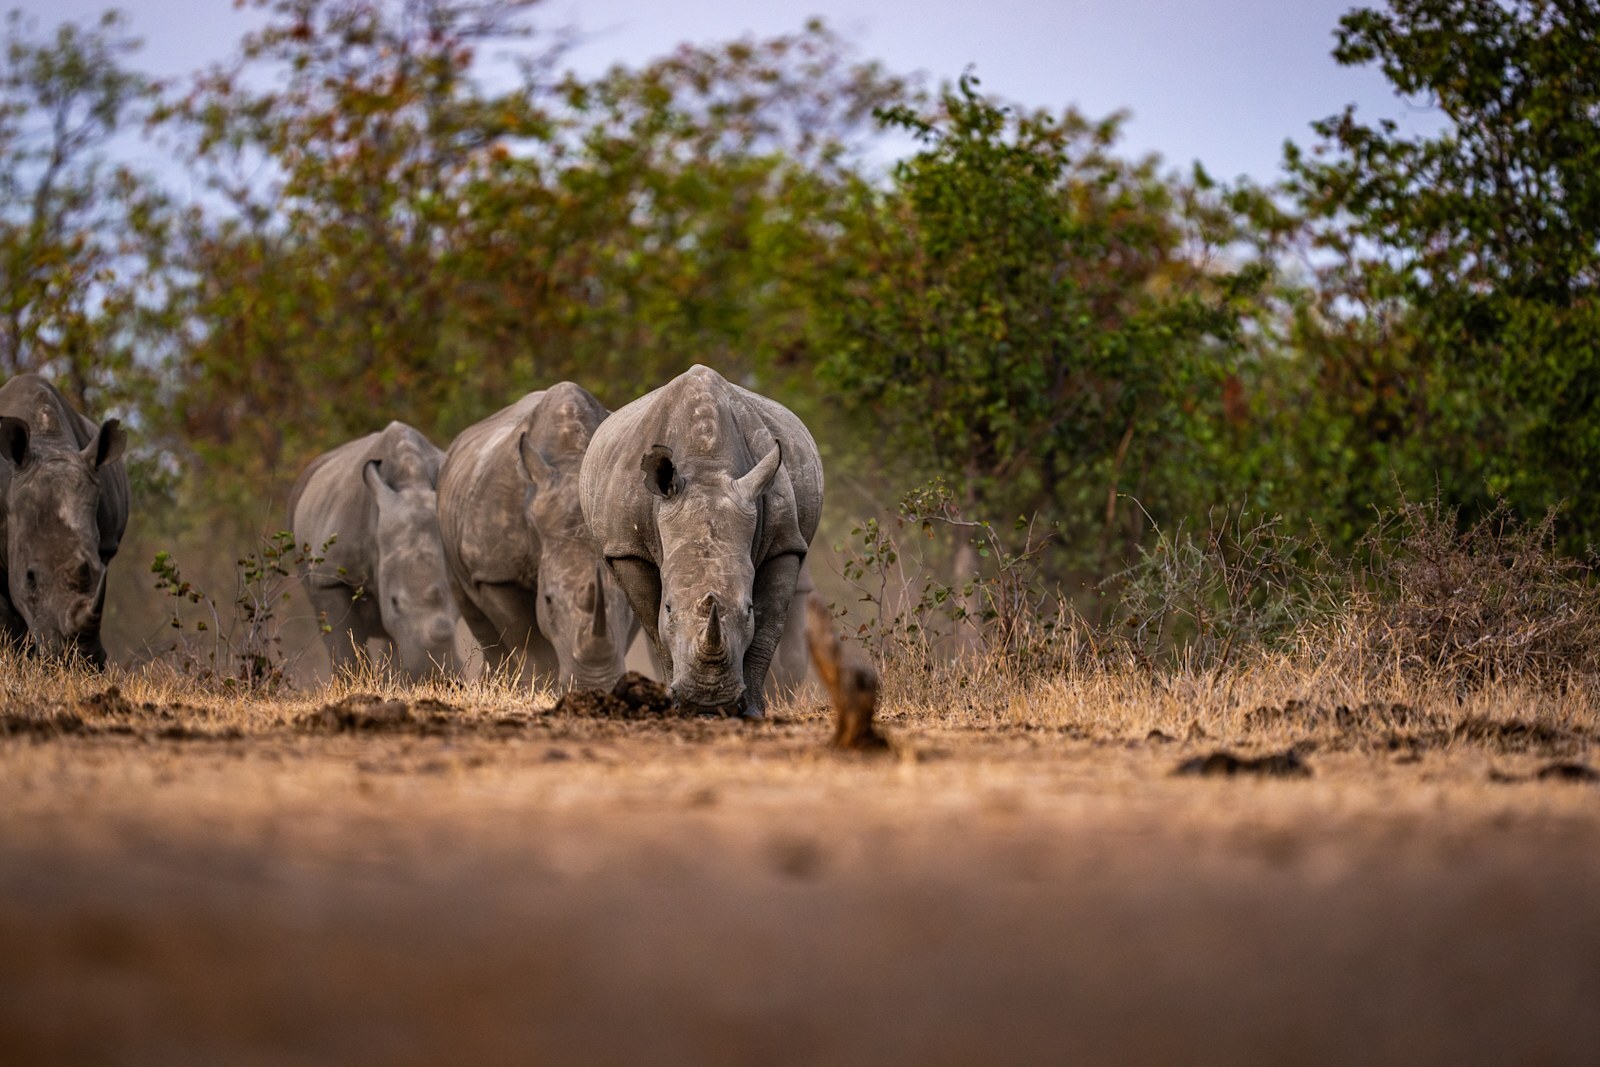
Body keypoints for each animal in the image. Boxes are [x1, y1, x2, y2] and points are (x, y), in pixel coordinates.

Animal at [438, 382, 632, 689]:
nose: (595, 685)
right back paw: (496, 683)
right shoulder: (496, 572)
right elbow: (526, 638)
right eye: (549, 600)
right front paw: (538, 687)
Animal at [579, 365, 822, 718]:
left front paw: (751, 713)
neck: (706, 468)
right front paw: (675, 706)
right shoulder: (627, 549)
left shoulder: (785, 543)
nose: (708, 701)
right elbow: (655, 629)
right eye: (669, 608)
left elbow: (767, 629)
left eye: (747, 609)